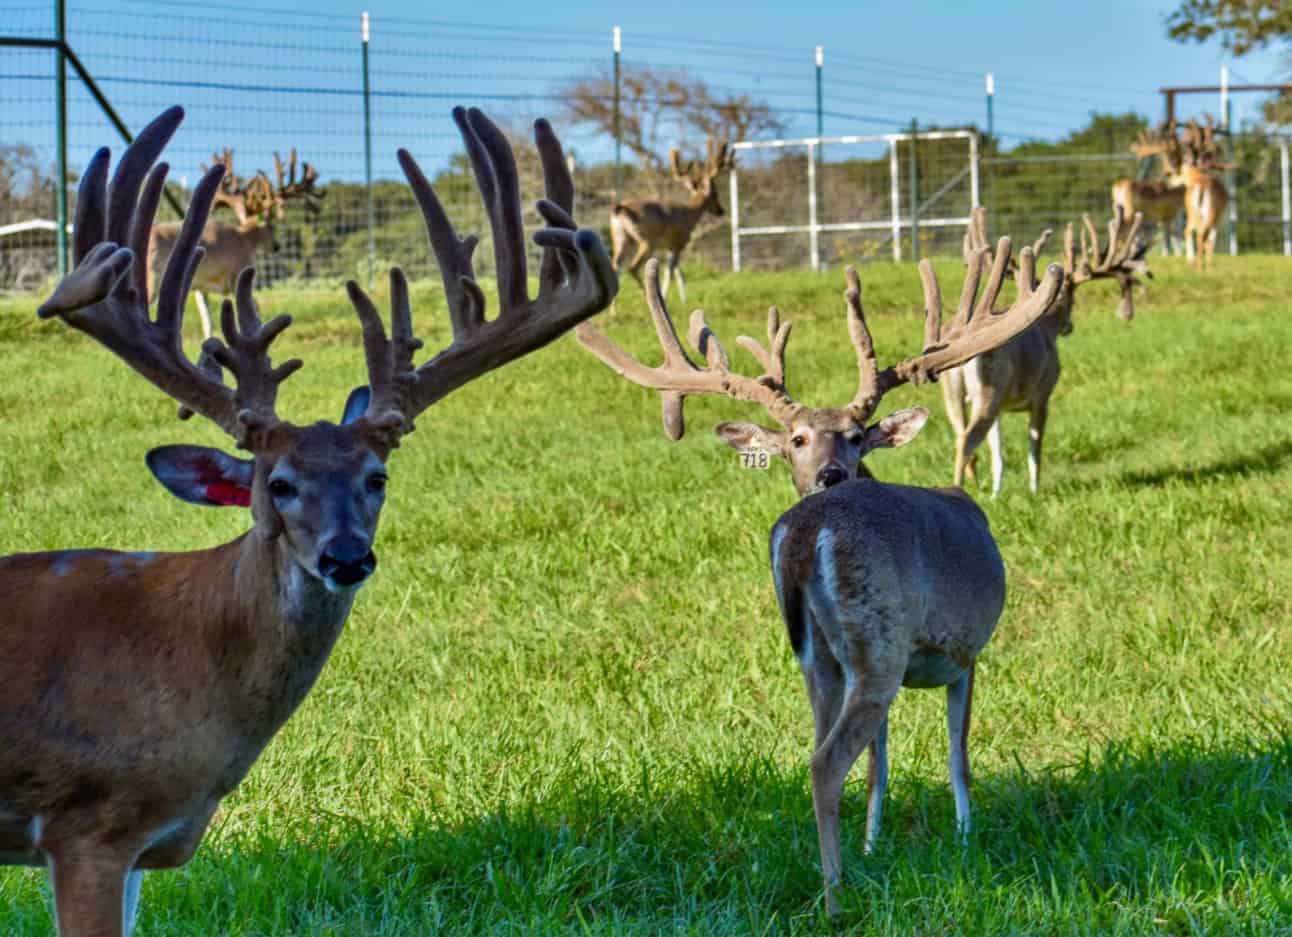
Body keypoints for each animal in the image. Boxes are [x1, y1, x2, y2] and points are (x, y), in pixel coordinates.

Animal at [146, 148, 324, 337]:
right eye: (272, 226)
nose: (277, 246)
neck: (245, 238)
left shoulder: (199, 287)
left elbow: (207, 321)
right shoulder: (238, 273)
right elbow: (254, 309)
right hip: (152, 278)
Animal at [576, 244, 1064, 916]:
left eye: (856, 435)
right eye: (798, 439)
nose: (831, 473)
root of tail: (808, 533)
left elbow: (881, 764)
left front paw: (874, 844)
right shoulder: (964, 652)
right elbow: (958, 754)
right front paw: (967, 839)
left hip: (820, 656)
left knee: (821, 748)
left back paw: (835, 873)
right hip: (877, 639)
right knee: (825, 762)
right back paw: (835, 899)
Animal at [610, 137, 734, 301]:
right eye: (715, 195)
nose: (721, 211)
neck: (690, 215)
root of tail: (620, 208)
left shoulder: (670, 246)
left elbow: (674, 270)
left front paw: (678, 298)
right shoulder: (679, 243)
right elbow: (671, 270)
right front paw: (674, 298)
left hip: (621, 238)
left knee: (615, 265)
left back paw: (614, 307)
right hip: (647, 240)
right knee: (632, 267)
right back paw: (645, 295)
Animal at [941, 206, 1149, 496]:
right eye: (1072, 301)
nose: (1069, 327)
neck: (1047, 326)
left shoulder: (1003, 406)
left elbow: (998, 452)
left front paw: (996, 492)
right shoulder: (1043, 393)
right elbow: (1035, 447)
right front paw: (1034, 490)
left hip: (953, 392)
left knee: (961, 434)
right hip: (989, 388)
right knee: (967, 440)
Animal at [1111, 127, 1184, 255]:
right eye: (1172, 153)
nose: (1176, 167)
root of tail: (1118, 186)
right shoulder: (1168, 214)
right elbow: (1169, 235)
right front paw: (1168, 254)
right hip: (1129, 210)